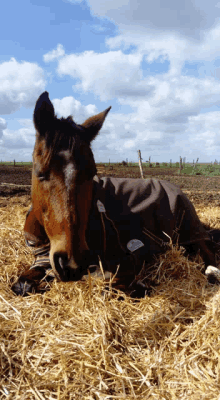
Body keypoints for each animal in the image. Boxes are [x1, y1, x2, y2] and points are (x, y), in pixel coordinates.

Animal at [12, 91, 220, 296]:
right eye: (40, 173)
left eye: (92, 172)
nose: (72, 263)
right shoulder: (41, 261)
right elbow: (21, 285)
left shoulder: (128, 257)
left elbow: (111, 286)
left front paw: (140, 286)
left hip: (189, 230)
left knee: (207, 252)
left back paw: (212, 272)